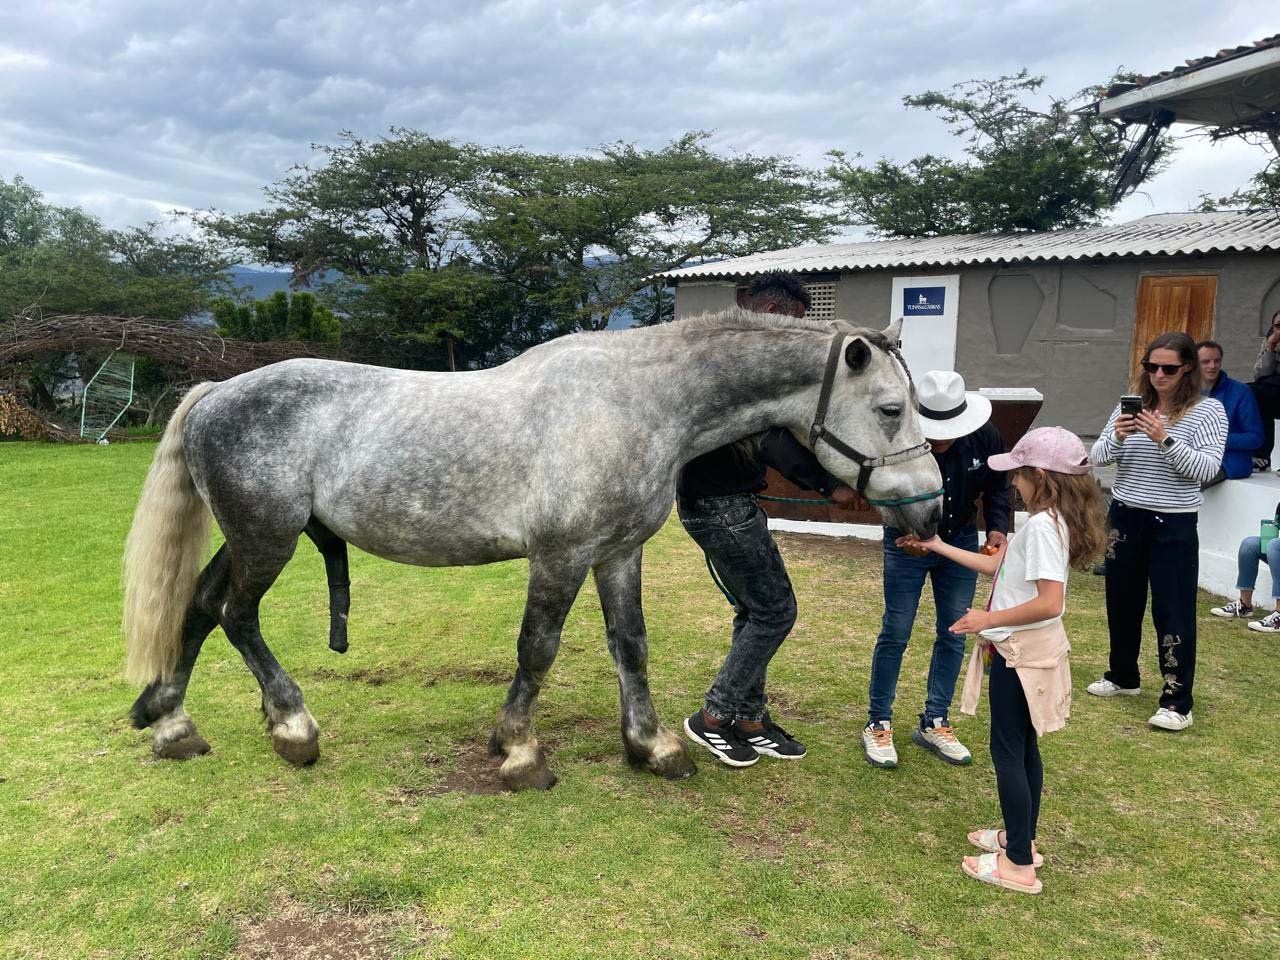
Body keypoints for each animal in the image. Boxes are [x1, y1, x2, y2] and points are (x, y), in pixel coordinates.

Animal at [122, 309, 943, 790]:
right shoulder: (561, 555)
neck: (636, 404)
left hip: (250, 538)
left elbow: (630, 645)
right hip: (268, 541)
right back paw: (292, 727)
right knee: (236, 617)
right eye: (890, 409)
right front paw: (519, 751)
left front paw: (652, 747)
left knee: (199, 607)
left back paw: (171, 724)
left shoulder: (618, 554)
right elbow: (538, 648)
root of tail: (216, 391)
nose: (931, 505)